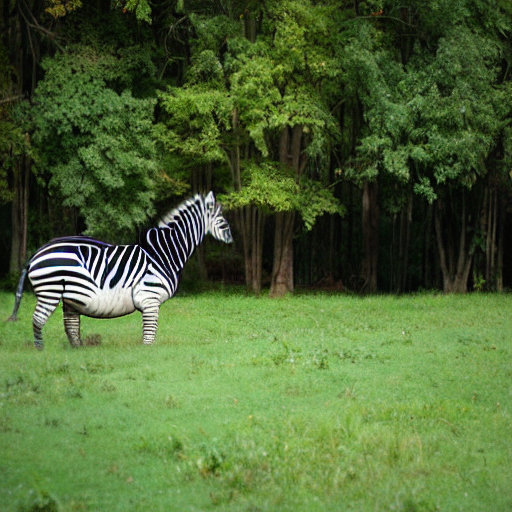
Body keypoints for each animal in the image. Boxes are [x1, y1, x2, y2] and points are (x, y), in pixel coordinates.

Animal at [8, 192, 233, 349]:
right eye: (222, 221)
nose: (231, 239)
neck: (162, 253)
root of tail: (36, 254)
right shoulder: (150, 297)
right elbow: (149, 335)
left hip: (69, 297)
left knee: (70, 325)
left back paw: (78, 349)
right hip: (50, 291)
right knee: (38, 320)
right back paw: (40, 349)